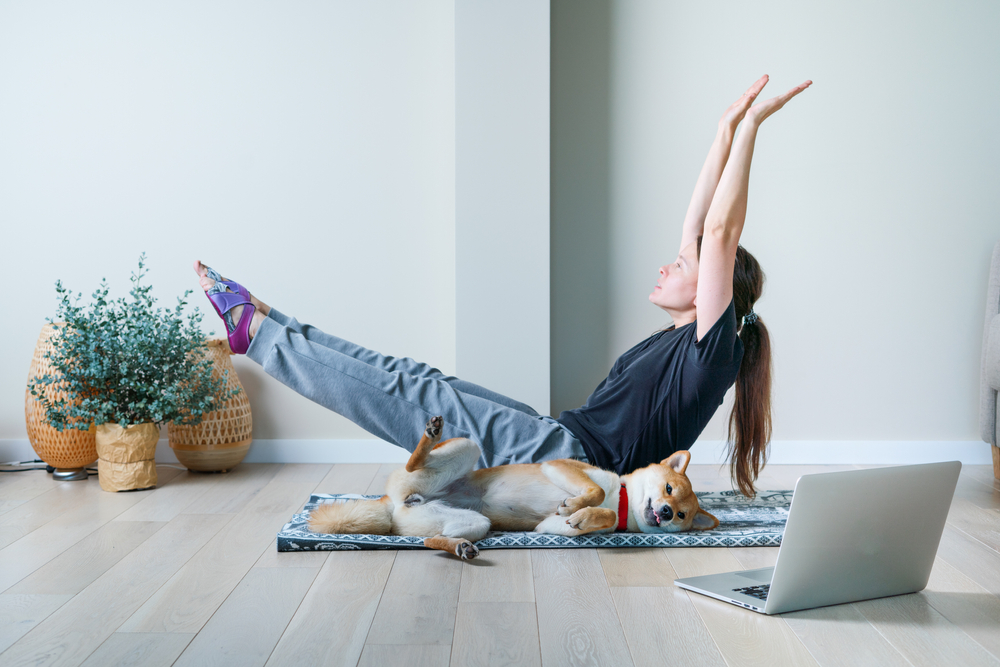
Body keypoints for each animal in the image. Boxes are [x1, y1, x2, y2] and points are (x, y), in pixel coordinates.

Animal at [308, 418, 716, 560]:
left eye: (681, 514)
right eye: (667, 488)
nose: (666, 512)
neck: (625, 502)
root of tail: (394, 504)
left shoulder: (547, 528)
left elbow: (587, 517)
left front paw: (580, 516)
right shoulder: (564, 468)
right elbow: (597, 493)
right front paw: (579, 505)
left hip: (472, 523)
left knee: (428, 540)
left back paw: (459, 548)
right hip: (465, 448)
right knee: (413, 462)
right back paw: (430, 435)